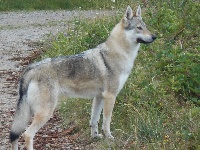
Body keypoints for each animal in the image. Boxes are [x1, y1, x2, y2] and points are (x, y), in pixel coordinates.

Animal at [9, 5, 156, 149]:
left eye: (145, 26)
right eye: (139, 28)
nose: (154, 36)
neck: (119, 52)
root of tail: (30, 69)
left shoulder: (99, 97)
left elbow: (94, 120)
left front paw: (95, 136)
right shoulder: (110, 96)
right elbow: (106, 121)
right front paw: (109, 138)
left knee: (16, 136)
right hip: (45, 112)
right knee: (27, 134)